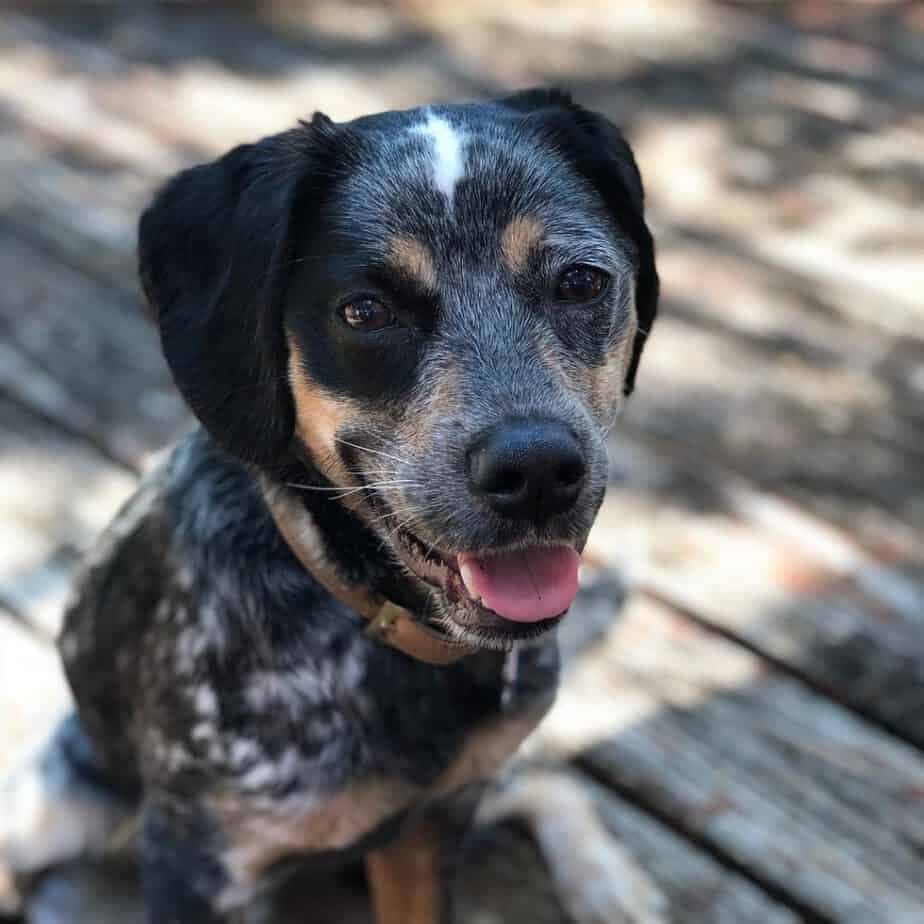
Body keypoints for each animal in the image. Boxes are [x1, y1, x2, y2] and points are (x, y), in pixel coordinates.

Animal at [3, 88, 660, 924]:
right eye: (365, 311)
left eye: (580, 282)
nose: (539, 470)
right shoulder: (200, 862)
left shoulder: (431, 825)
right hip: (47, 811)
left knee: (541, 777)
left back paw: (607, 883)